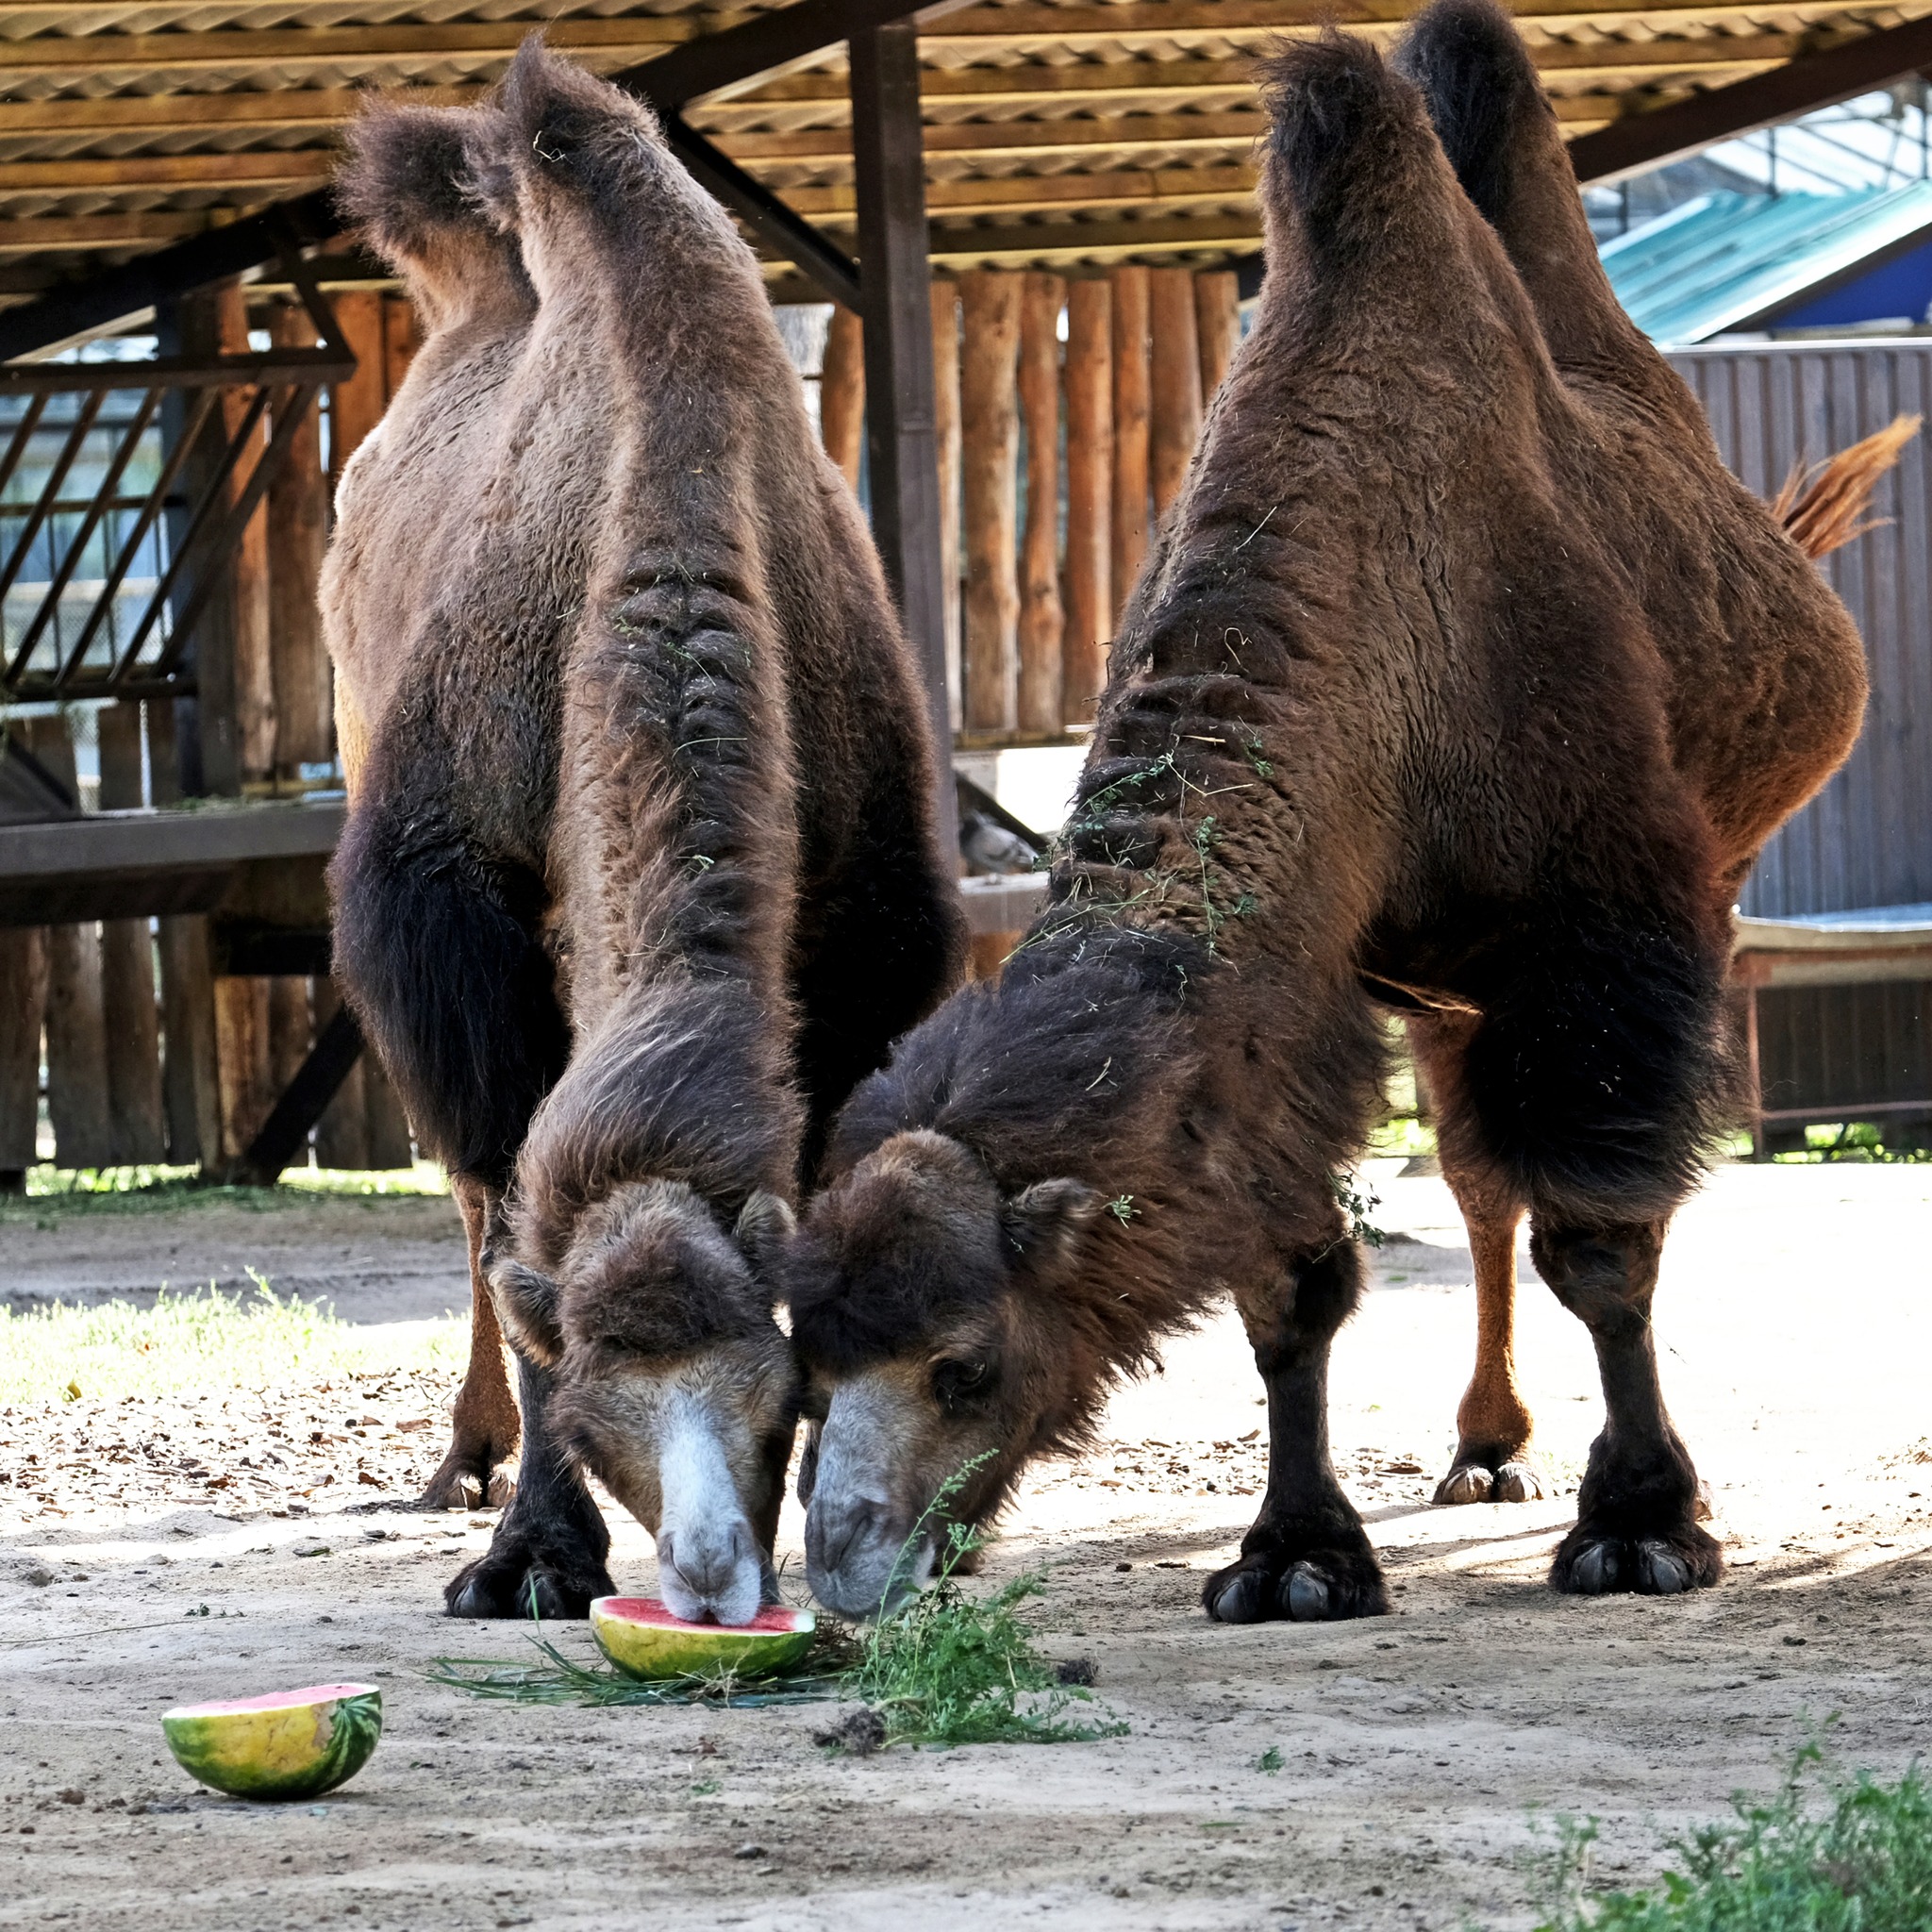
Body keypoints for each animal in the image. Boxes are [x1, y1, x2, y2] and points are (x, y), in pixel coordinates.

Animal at [780, 8, 1870, 1623]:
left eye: (961, 1365)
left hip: (1698, 885)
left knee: (1575, 1193)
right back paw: (1482, 1444)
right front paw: (1294, 1554)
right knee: (1475, 1180)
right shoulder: (1302, 985)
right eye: (809, 1357)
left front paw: (1642, 1528)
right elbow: (1289, 1280)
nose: (853, 1568)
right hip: (1449, 990)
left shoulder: (1602, 920)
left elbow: (1602, 1238)